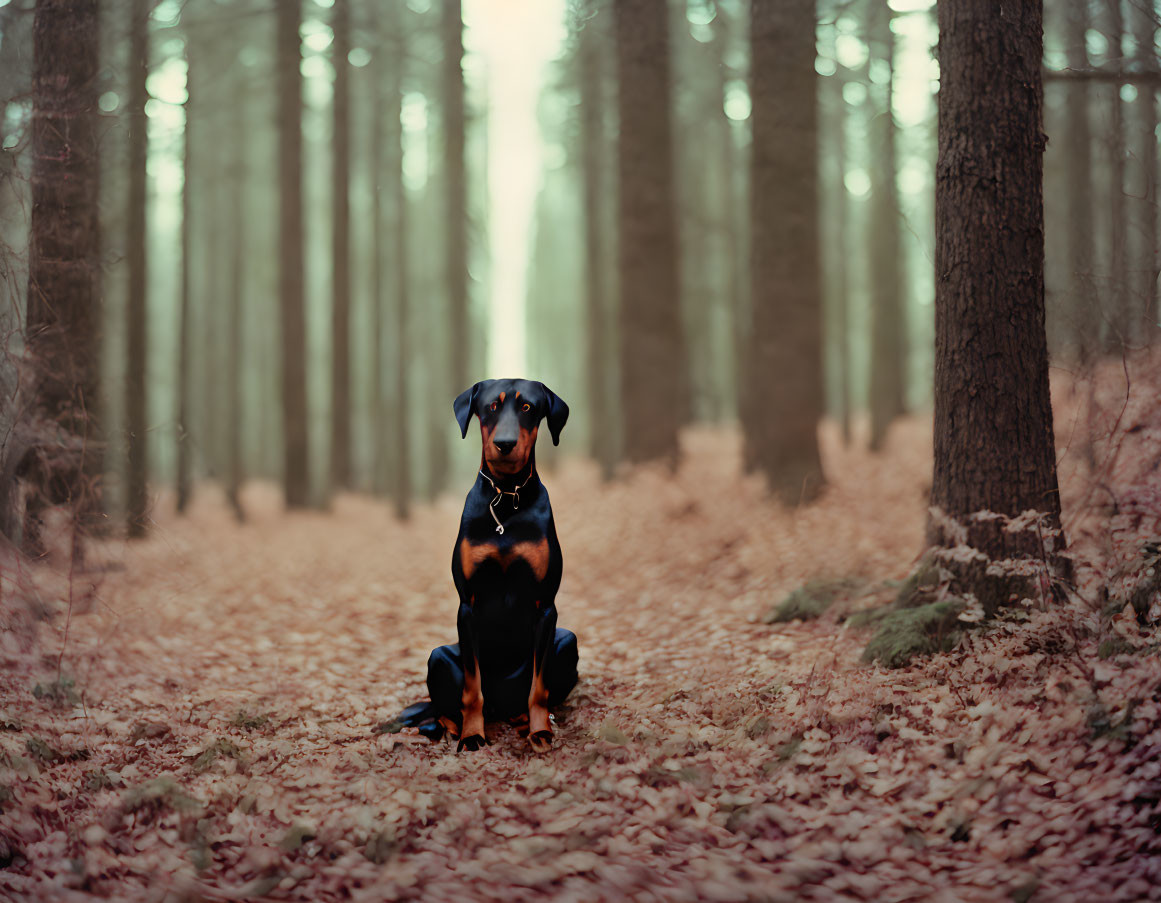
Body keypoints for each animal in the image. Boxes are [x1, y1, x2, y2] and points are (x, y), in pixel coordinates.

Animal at [401, 376, 578, 747]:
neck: (506, 497)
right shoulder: (467, 603)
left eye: (527, 407)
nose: (505, 444)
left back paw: (526, 720)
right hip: (439, 657)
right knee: (445, 707)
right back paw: (450, 727)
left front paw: (540, 730)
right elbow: (472, 688)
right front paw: (472, 734)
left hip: (568, 642)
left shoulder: (546, 606)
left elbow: (539, 687)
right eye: (491, 407)